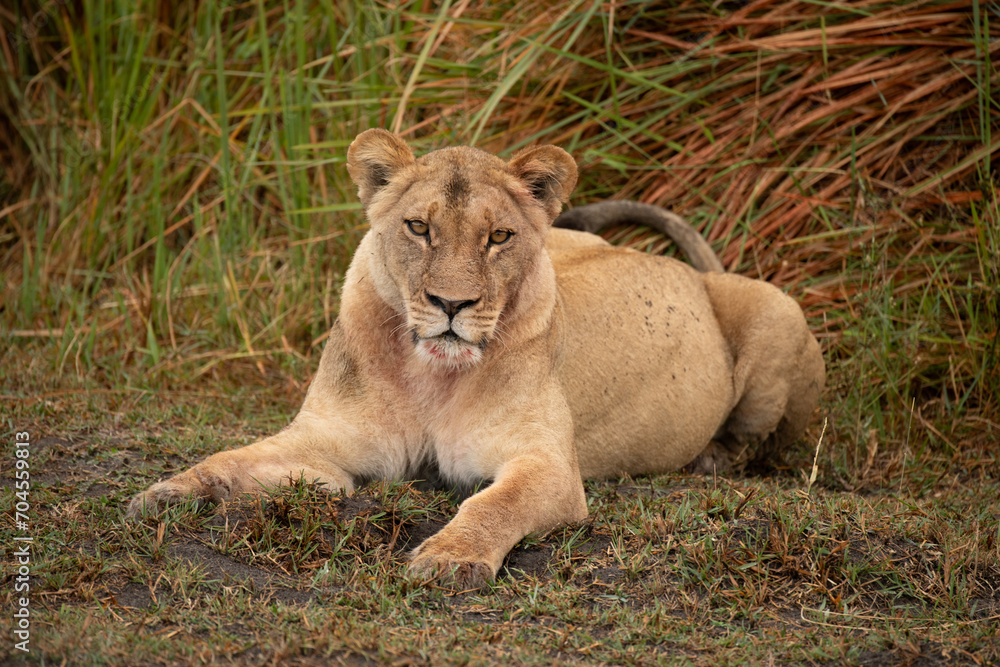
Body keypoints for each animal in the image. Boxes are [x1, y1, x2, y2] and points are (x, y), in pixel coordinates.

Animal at [128, 129, 825, 589]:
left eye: (498, 237)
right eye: (419, 228)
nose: (451, 303)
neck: (429, 372)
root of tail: (691, 270)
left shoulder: (548, 466)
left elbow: (493, 505)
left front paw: (449, 559)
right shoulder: (328, 441)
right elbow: (233, 458)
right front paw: (166, 493)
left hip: (778, 310)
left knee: (760, 441)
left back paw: (709, 460)